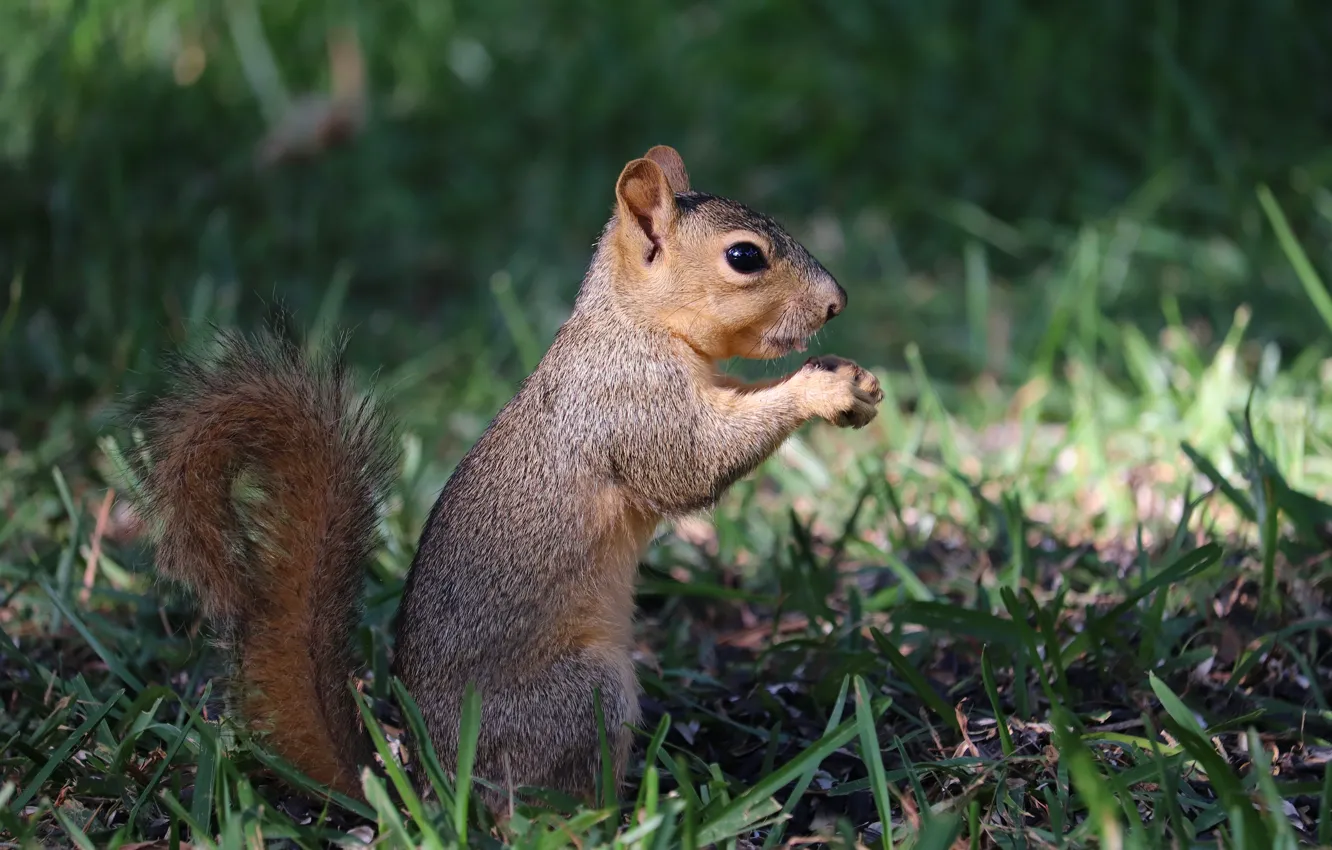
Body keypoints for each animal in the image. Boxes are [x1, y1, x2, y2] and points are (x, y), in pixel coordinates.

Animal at [129, 147, 884, 820]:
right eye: (745, 257)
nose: (839, 303)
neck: (634, 324)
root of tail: (434, 789)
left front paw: (852, 380)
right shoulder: (629, 404)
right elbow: (691, 465)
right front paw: (819, 390)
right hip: (580, 695)